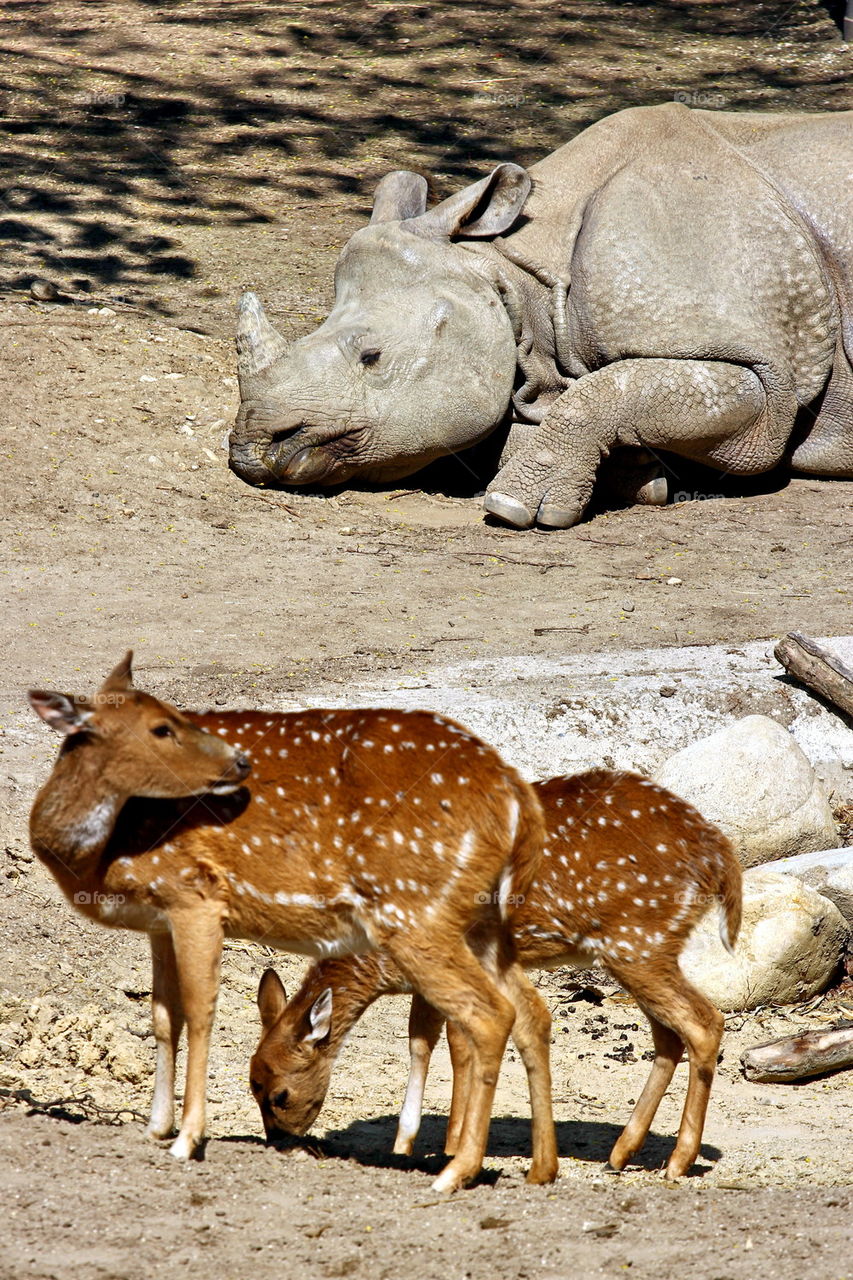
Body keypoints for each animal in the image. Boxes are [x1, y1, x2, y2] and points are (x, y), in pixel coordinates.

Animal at [26, 655, 550, 1192]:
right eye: (161, 726)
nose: (240, 764)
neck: (102, 856)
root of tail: (516, 797)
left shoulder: (196, 896)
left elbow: (201, 1011)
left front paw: (186, 1139)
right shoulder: (159, 920)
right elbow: (163, 1017)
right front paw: (155, 1128)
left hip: (415, 911)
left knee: (488, 1015)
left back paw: (454, 1172)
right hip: (479, 924)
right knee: (530, 1011)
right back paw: (537, 1170)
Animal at [251, 768, 737, 1177]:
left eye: (279, 1094)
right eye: (252, 1085)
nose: (277, 1142)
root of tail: (718, 854)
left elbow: (448, 1043)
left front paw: (438, 1144)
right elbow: (429, 1041)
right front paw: (421, 1143)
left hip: (638, 941)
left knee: (704, 1022)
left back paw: (677, 1162)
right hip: (642, 949)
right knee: (669, 1036)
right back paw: (621, 1154)